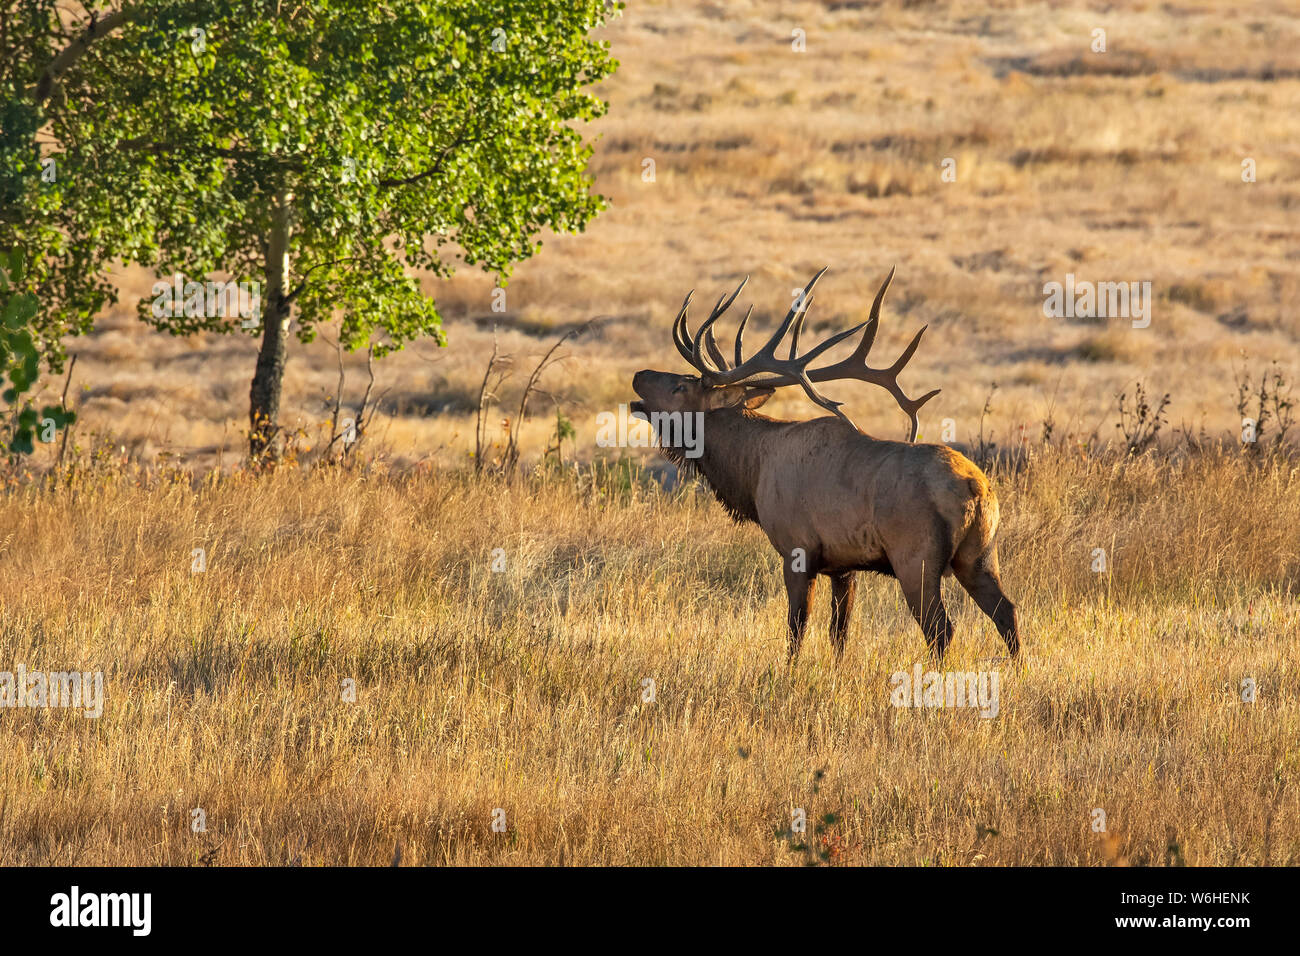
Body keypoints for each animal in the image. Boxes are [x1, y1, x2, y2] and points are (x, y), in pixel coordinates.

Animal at [629, 265, 1013, 660]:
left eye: (681, 387)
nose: (639, 375)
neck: (752, 472)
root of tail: (976, 490)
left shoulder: (798, 549)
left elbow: (796, 629)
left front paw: (790, 670)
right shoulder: (843, 566)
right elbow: (839, 632)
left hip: (915, 557)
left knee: (941, 629)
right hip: (981, 555)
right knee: (1006, 613)